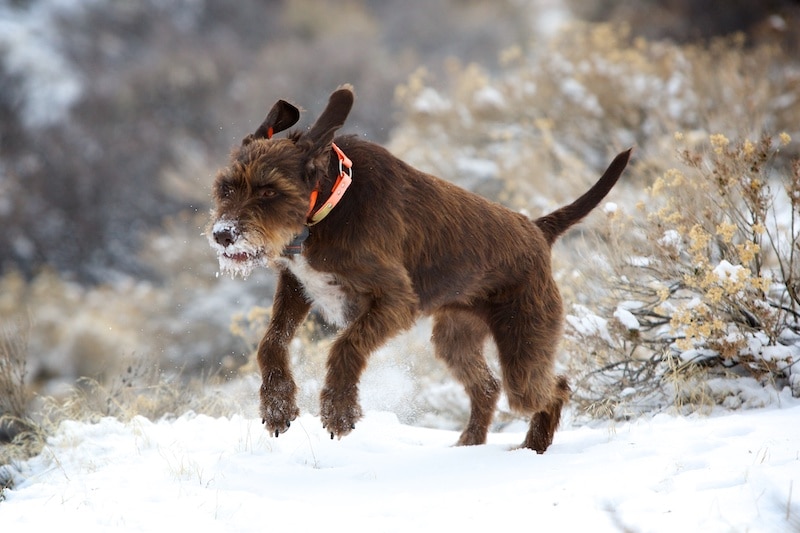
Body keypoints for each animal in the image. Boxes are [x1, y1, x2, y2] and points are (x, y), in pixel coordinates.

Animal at [208, 85, 632, 450]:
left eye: (269, 191)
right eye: (226, 188)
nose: (223, 235)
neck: (327, 207)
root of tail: (538, 230)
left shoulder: (395, 299)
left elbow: (345, 345)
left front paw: (338, 411)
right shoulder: (298, 286)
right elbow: (271, 342)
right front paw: (277, 406)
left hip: (523, 344)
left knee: (554, 388)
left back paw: (532, 448)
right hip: (455, 337)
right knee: (488, 387)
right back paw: (469, 445)